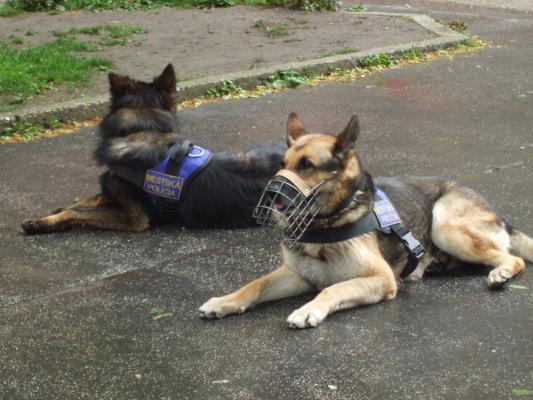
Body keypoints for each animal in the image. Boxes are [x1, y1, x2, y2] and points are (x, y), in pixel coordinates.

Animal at [21, 64, 284, 234]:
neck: (143, 130)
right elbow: (88, 200)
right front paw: (57, 211)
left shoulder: (134, 219)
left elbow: (81, 213)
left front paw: (40, 223)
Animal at [199, 112, 533, 328]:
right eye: (282, 163)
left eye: (307, 165)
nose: (269, 193)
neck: (326, 224)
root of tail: (500, 215)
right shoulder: (297, 275)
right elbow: (254, 285)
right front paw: (224, 302)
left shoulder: (380, 279)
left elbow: (331, 289)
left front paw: (309, 310)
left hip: (444, 225)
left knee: (513, 258)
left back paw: (501, 273)